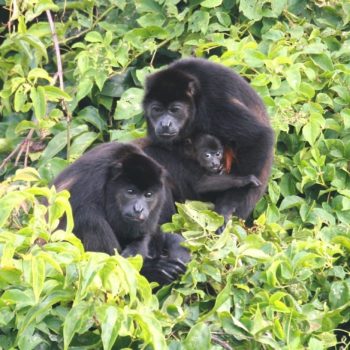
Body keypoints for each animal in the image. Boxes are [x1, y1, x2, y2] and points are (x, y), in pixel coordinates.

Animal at [53, 142, 190, 284]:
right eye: (130, 192)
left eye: (148, 195)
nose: (138, 209)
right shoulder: (91, 180)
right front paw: (153, 269)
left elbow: (145, 234)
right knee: (88, 216)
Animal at [144, 57, 274, 221]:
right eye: (157, 110)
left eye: (175, 110)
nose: (165, 124)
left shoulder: (214, 102)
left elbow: (258, 136)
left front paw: (228, 205)